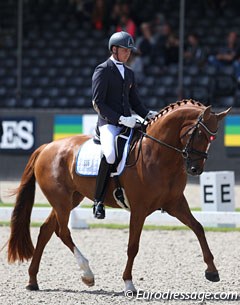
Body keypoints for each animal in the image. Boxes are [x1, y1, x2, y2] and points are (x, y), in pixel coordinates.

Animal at [6, 98, 230, 290]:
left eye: (213, 137)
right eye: (199, 134)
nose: (195, 170)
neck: (157, 154)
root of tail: (46, 147)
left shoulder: (175, 203)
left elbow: (198, 228)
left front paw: (212, 272)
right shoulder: (139, 209)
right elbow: (133, 246)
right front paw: (128, 283)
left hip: (70, 199)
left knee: (46, 230)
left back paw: (32, 281)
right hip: (61, 200)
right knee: (62, 232)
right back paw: (87, 274)